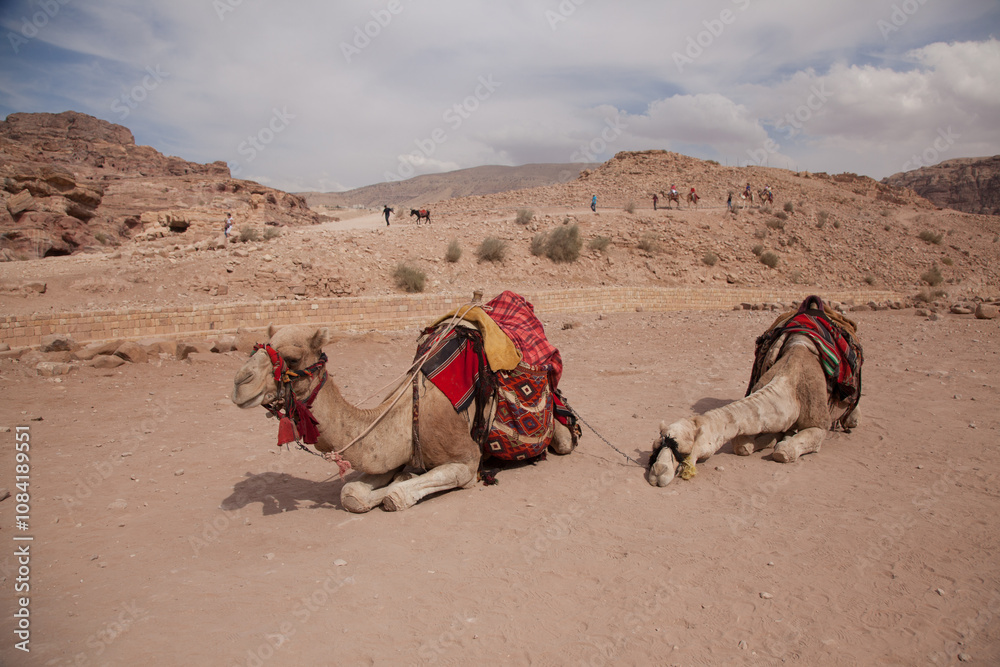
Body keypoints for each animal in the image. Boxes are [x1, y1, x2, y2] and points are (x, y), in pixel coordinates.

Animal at [232, 324, 575, 512]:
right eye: (256, 349)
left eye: (290, 359)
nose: (239, 382)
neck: (407, 413)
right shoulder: (396, 453)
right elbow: (351, 493)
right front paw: (393, 481)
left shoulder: (466, 460)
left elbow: (396, 495)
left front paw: (397, 488)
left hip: (556, 432)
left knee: (564, 440)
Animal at [647, 297, 863, 487]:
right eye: (657, 445)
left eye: (685, 451)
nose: (657, 472)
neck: (790, 385)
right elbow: (743, 444)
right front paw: (768, 440)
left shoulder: (819, 424)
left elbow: (783, 451)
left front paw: (782, 442)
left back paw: (851, 421)